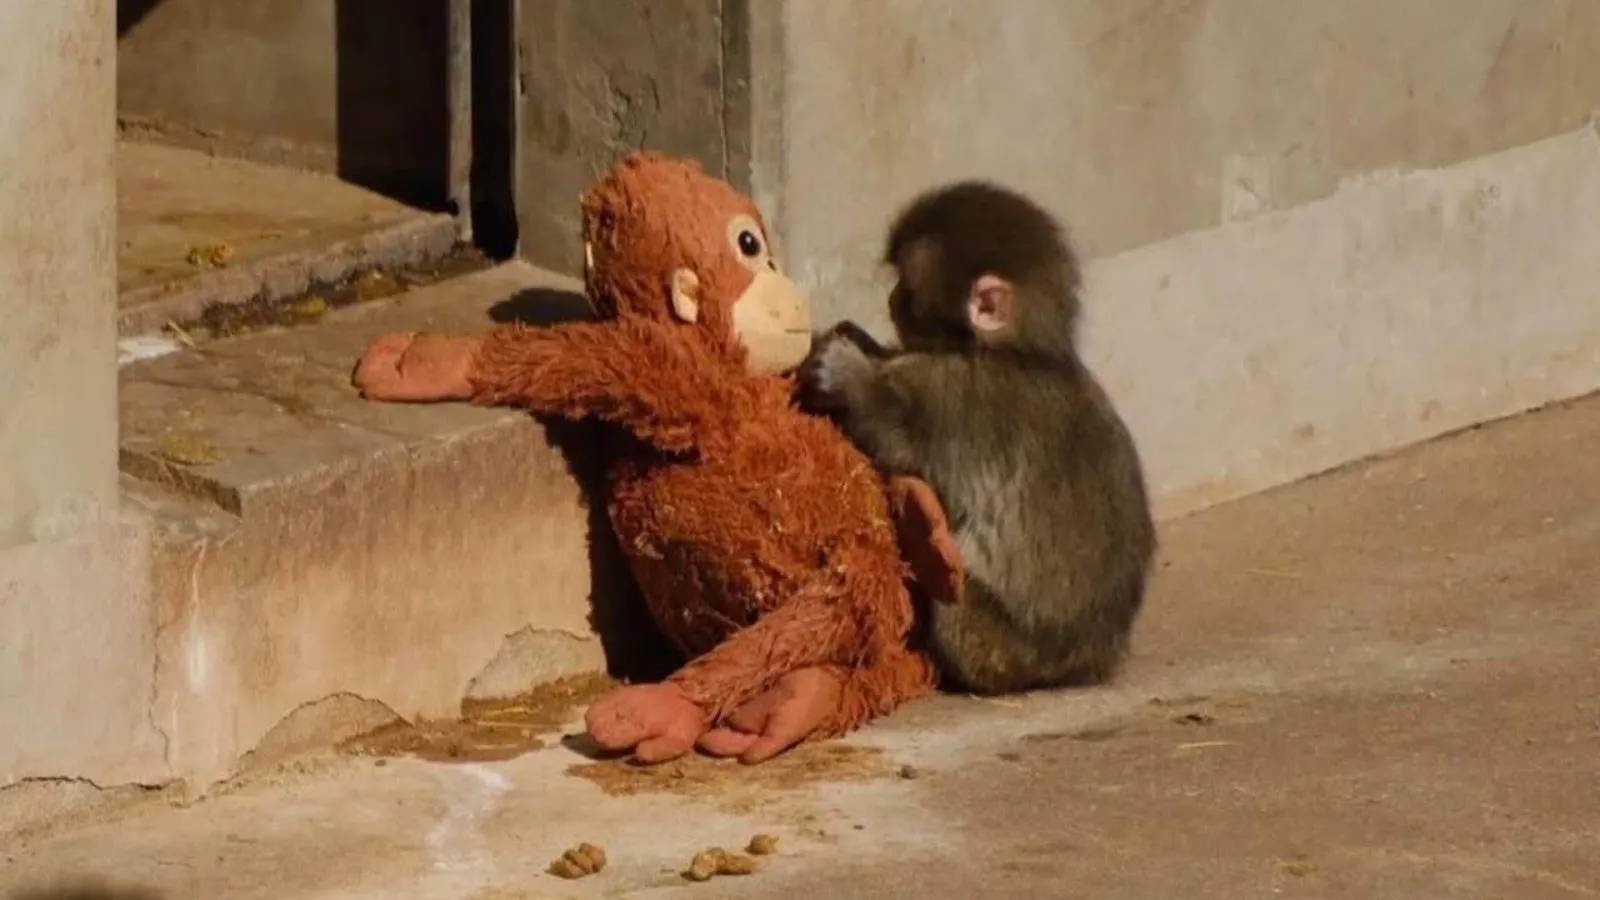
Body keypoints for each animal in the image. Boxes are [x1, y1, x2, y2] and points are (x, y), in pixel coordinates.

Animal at [797, 181, 1157, 695]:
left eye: (908, 287)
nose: (891, 299)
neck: (1018, 353)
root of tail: (1085, 663)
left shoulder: (951, 396)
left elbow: (899, 442)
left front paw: (848, 373)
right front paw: (860, 341)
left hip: (994, 646)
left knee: (953, 601)